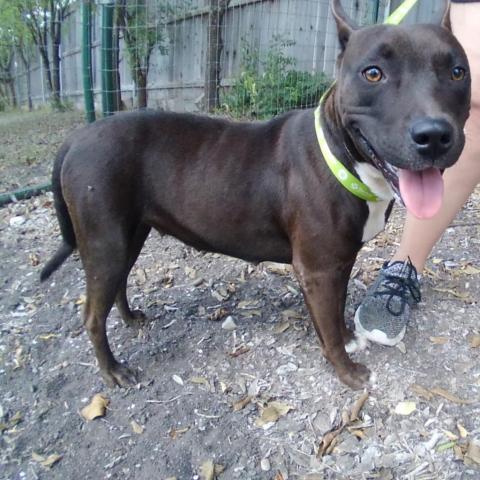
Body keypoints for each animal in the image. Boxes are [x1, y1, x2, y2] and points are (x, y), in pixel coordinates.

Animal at [40, 0, 468, 388]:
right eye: (373, 73)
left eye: (457, 71)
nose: (434, 135)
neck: (341, 157)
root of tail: (78, 137)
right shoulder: (318, 269)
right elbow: (327, 326)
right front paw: (346, 370)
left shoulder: (339, 261)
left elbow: (336, 310)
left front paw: (348, 337)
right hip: (105, 242)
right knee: (92, 314)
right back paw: (113, 370)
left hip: (129, 236)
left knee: (118, 285)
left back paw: (130, 319)